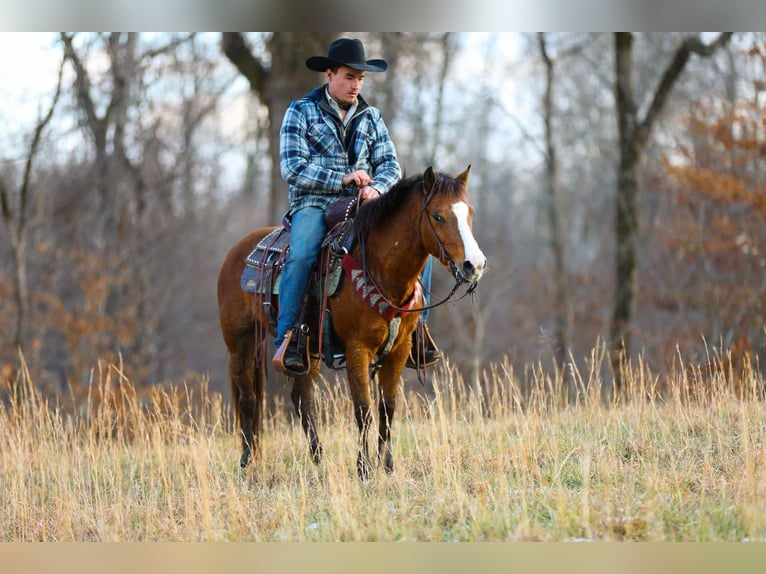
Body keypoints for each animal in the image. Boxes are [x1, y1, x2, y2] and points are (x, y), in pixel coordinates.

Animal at [219, 168, 488, 482]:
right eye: (438, 216)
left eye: (470, 212)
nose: (474, 265)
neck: (382, 271)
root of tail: (238, 251)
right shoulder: (357, 348)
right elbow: (364, 409)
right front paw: (363, 468)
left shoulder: (400, 349)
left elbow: (387, 408)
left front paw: (387, 465)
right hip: (241, 343)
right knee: (247, 399)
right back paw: (248, 460)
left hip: (307, 350)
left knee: (302, 398)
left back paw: (318, 458)